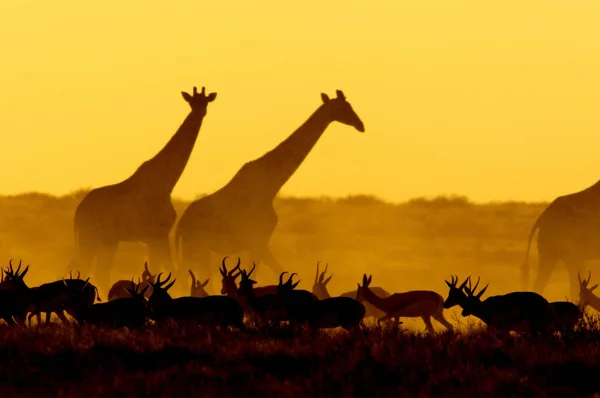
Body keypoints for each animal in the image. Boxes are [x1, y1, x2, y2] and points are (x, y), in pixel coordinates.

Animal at [67, 84, 217, 296]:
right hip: (92, 238)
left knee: (98, 272)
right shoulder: (158, 235)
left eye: (205, 101)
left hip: (107, 241)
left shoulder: (156, 237)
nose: (201, 112)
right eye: (192, 102)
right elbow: (166, 271)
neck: (166, 182)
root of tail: (78, 211)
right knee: (88, 269)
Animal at [173, 89, 366, 290]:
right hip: (196, 248)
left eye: (349, 105)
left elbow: (278, 270)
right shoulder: (257, 241)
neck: (271, 186)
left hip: (199, 250)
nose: (361, 125)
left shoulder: (261, 243)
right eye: (343, 108)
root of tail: (180, 225)